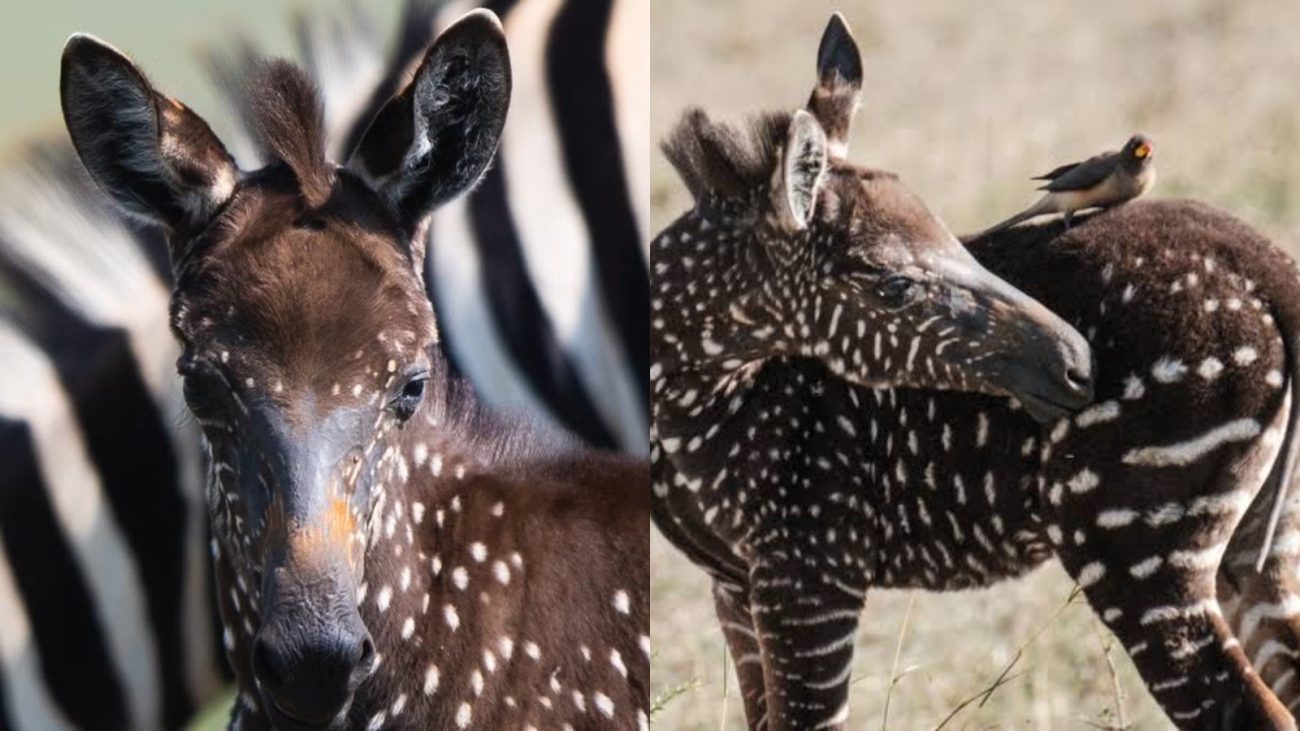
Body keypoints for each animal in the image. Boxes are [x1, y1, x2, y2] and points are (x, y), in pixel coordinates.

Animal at [651, 14, 1300, 730]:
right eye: (895, 285)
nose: (1079, 366)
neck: (707, 397)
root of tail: (1265, 269)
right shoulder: (736, 588)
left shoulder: (811, 571)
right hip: (1256, 543)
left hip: (1136, 547)